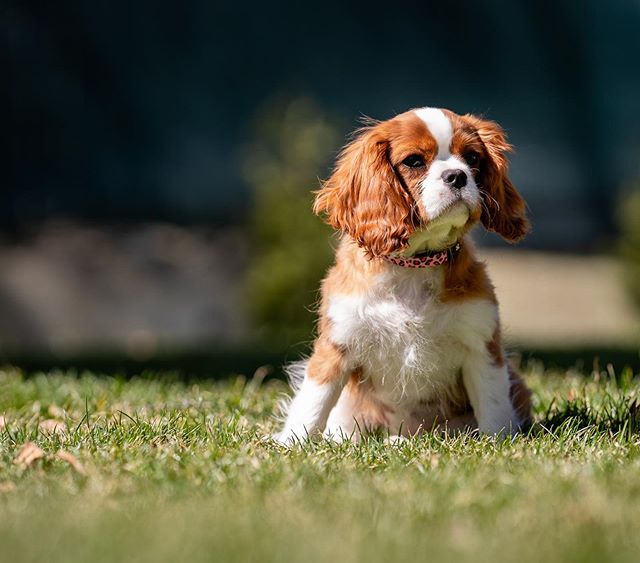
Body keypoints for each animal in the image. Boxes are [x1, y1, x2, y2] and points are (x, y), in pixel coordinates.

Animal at [276, 107, 528, 446]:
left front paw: (498, 442)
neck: (414, 265)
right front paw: (290, 443)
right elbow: (313, 402)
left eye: (472, 158)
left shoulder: (481, 344)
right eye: (414, 161)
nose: (457, 175)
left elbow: (494, 404)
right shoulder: (337, 343)